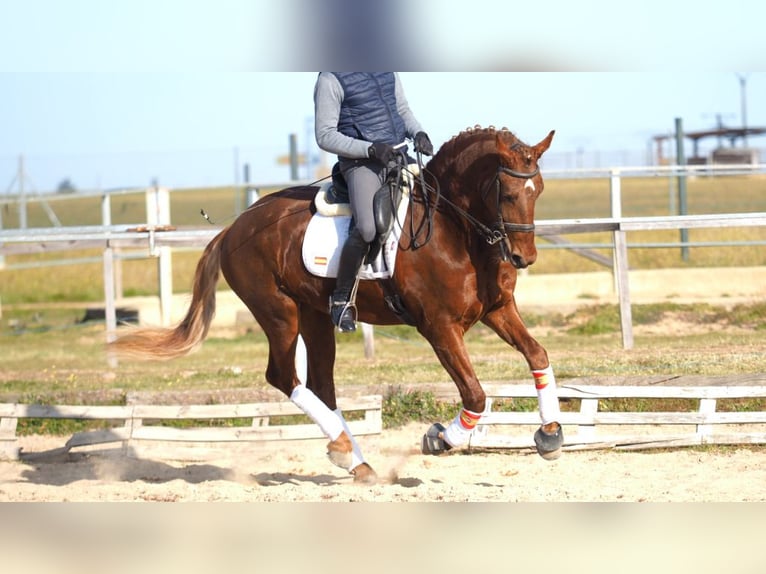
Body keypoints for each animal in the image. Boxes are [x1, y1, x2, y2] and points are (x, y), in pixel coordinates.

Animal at [109, 127, 564, 486]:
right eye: (507, 193)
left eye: (539, 190)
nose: (524, 258)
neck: (456, 231)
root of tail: (234, 228)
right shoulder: (438, 327)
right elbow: (475, 394)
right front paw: (438, 438)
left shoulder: (497, 310)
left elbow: (537, 354)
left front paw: (551, 433)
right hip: (279, 313)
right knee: (285, 377)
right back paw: (345, 449)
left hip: (316, 316)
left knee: (321, 385)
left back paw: (355, 461)